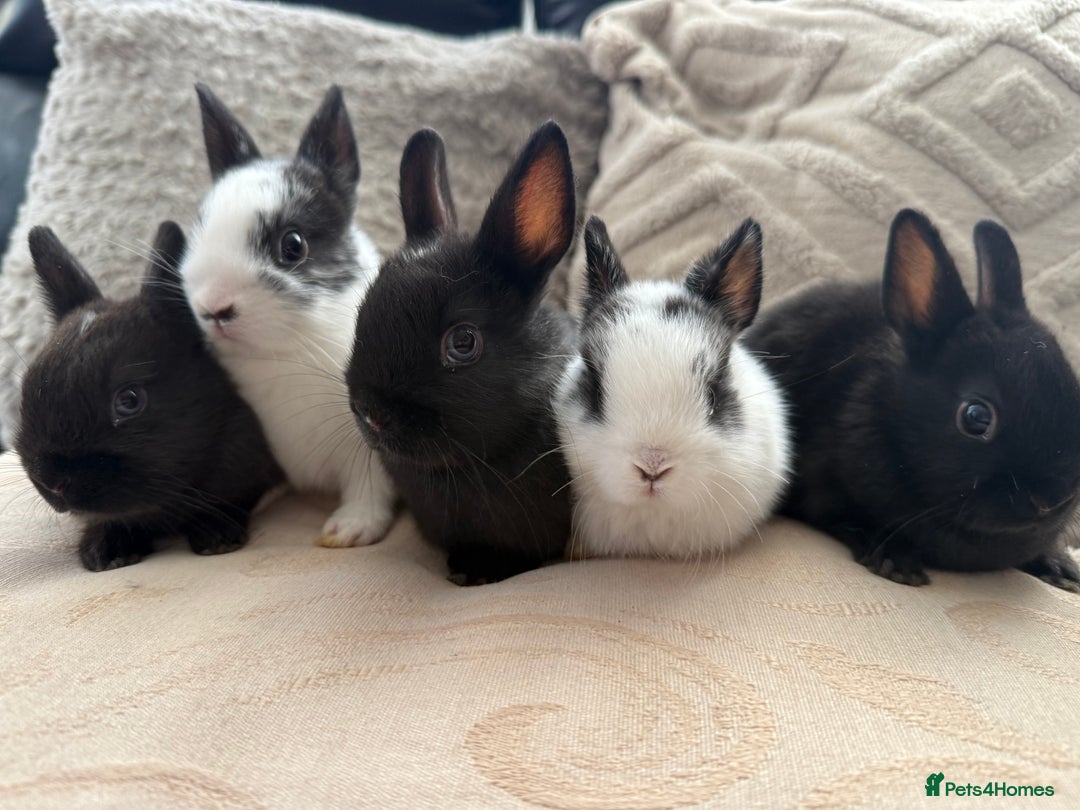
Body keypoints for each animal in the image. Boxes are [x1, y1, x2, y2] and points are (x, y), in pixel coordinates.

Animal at [180, 83, 396, 549]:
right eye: (197, 231)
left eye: (292, 246)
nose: (213, 308)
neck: (284, 351)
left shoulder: (366, 441)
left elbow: (369, 487)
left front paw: (350, 529)